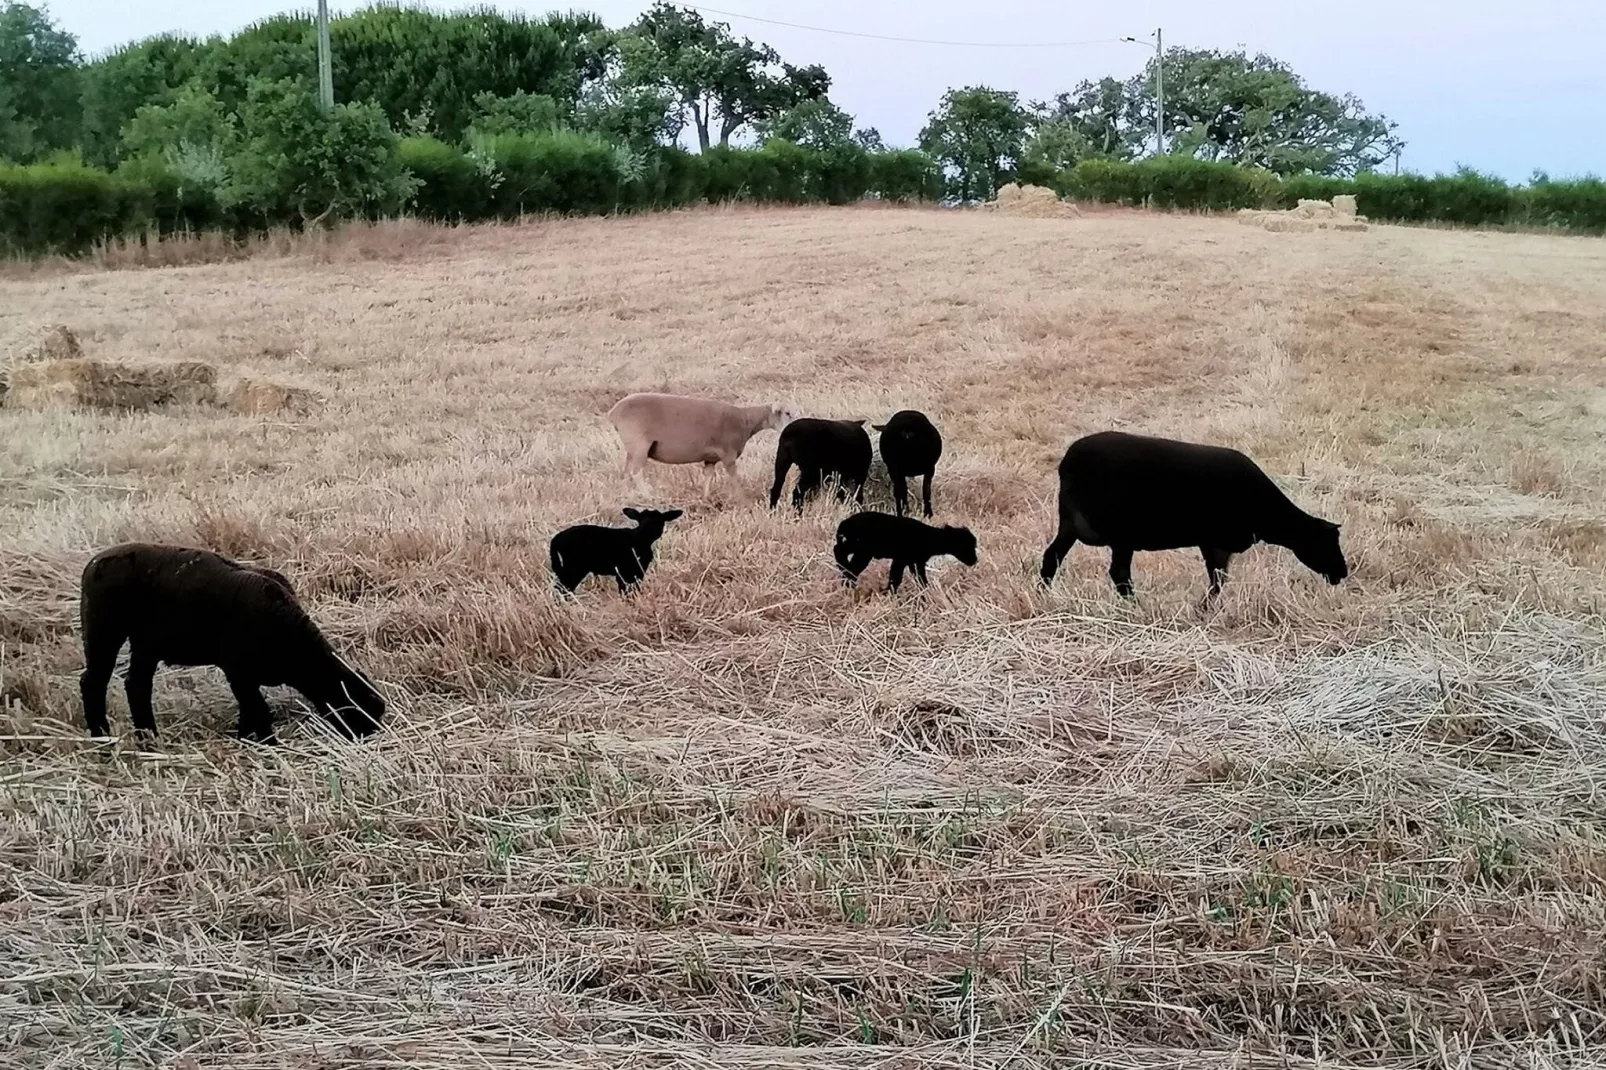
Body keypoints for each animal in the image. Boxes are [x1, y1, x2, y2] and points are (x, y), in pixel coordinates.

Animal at [78, 543, 388, 742]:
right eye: (358, 713)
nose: (368, 737)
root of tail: (93, 565)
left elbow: (249, 711)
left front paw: (246, 738)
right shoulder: (238, 672)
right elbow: (259, 711)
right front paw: (267, 742)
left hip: (145, 645)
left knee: (137, 685)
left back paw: (148, 737)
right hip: (104, 633)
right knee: (93, 682)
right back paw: (102, 738)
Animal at [552, 507, 684, 591]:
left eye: (660, 520)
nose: (656, 532)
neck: (641, 536)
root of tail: (556, 539)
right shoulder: (630, 571)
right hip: (574, 567)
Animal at [603, 390, 799, 485]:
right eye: (787, 413)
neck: (745, 421)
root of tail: (613, 413)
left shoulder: (710, 458)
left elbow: (708, 477)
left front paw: (706, 497)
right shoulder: (728, 455)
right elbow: (735, 480)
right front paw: (744, 501)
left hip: (632, 448)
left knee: (626, 473)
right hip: (639, 444)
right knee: (636, 473)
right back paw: (649, 496)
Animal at [841, 510, 976, 591]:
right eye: (966, 546)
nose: (974, 560)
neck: (929, 536)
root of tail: (845, 523)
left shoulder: (916, 561)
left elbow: (920, 578)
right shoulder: (901, 559)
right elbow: (896, 578)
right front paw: (889, 593)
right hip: (862, 551)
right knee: (848, 564)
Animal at [1034, 433, 1349, 600]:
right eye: (1326, 543)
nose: (1342, 573)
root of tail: (1068, 462)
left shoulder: (1217, 545)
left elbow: (1218, 579)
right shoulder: (1216, 541)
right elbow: (1217, 580)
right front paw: (1204, 608)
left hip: (1071, 524)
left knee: (1052, 556)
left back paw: (1043, 594)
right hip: (1121, 532)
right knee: (1119, 574)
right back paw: (1136, 605)